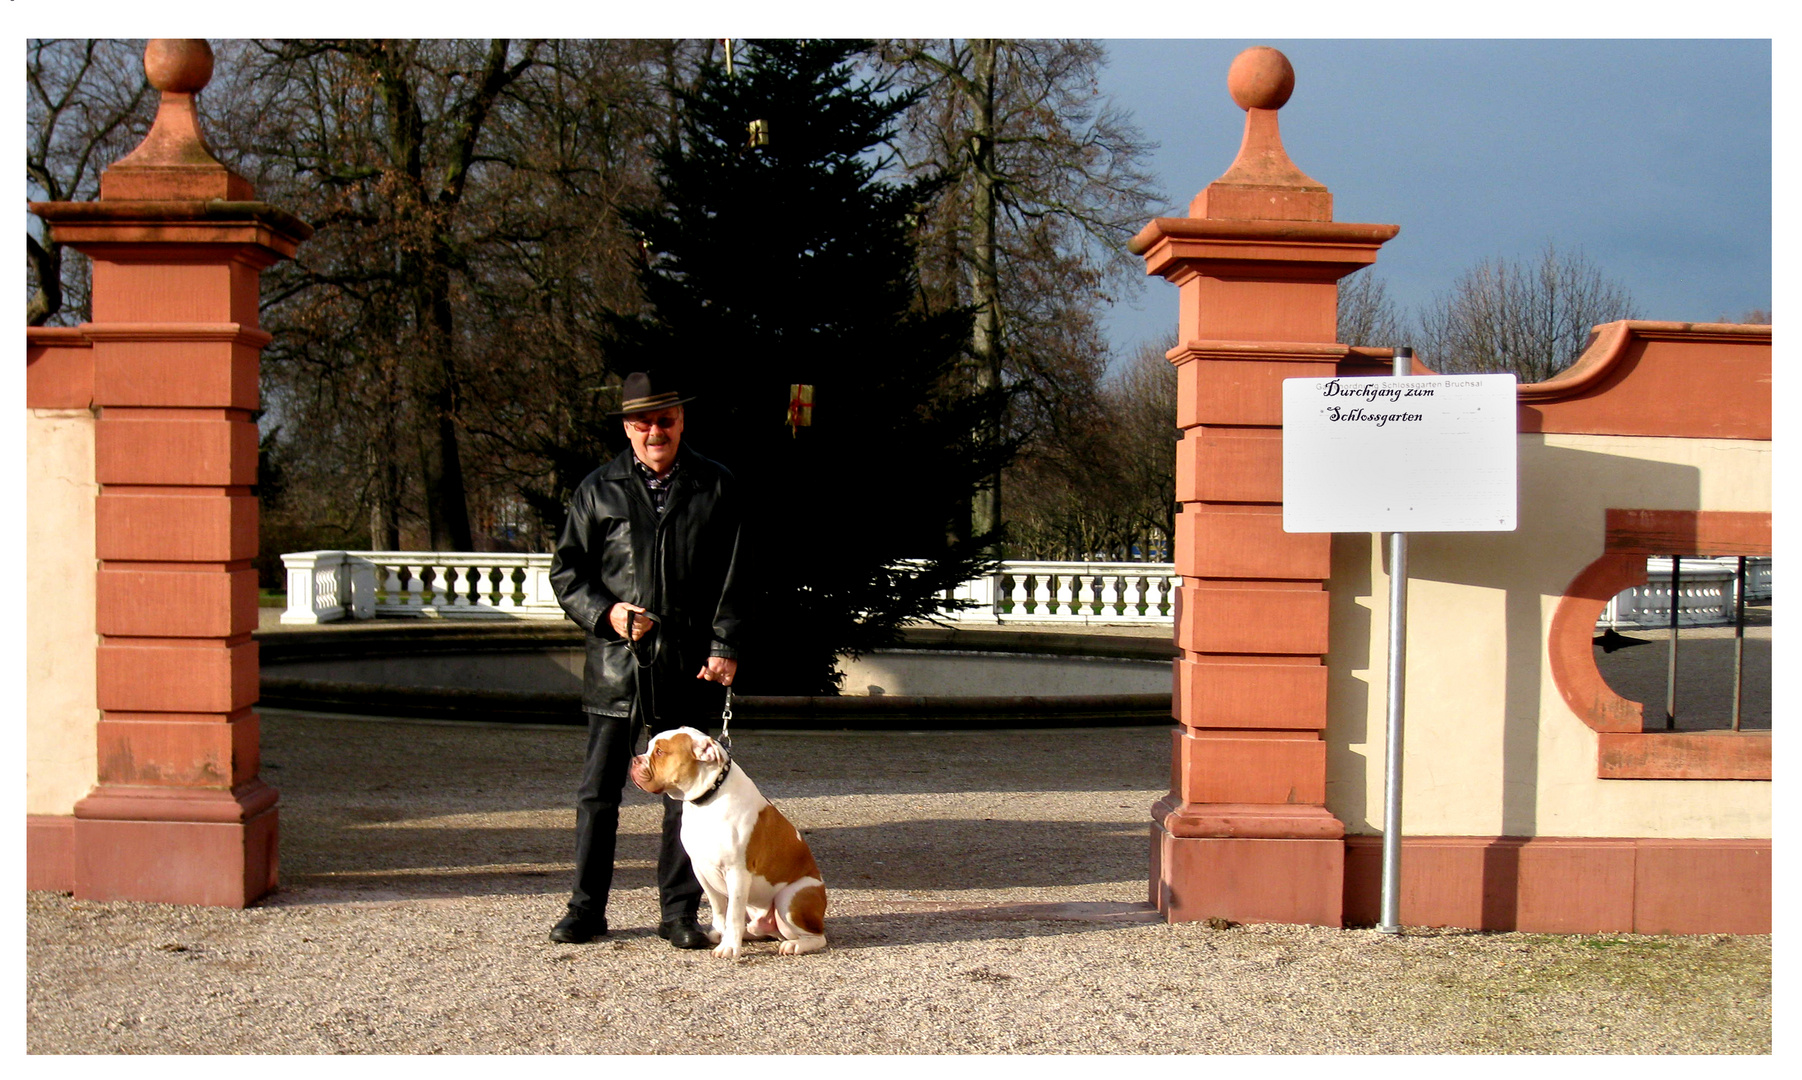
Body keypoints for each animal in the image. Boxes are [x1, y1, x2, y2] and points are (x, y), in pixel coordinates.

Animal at [630, 732, 825, 959]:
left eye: (660, 752)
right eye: (648, 747)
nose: (635, 760)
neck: (706, 800)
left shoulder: (737, 873)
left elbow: (733, 914)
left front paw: (729, 947)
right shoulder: (701, 870)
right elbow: (719, 908)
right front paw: (720, 934)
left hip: (790, 899)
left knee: (816, 936)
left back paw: (794, 945)